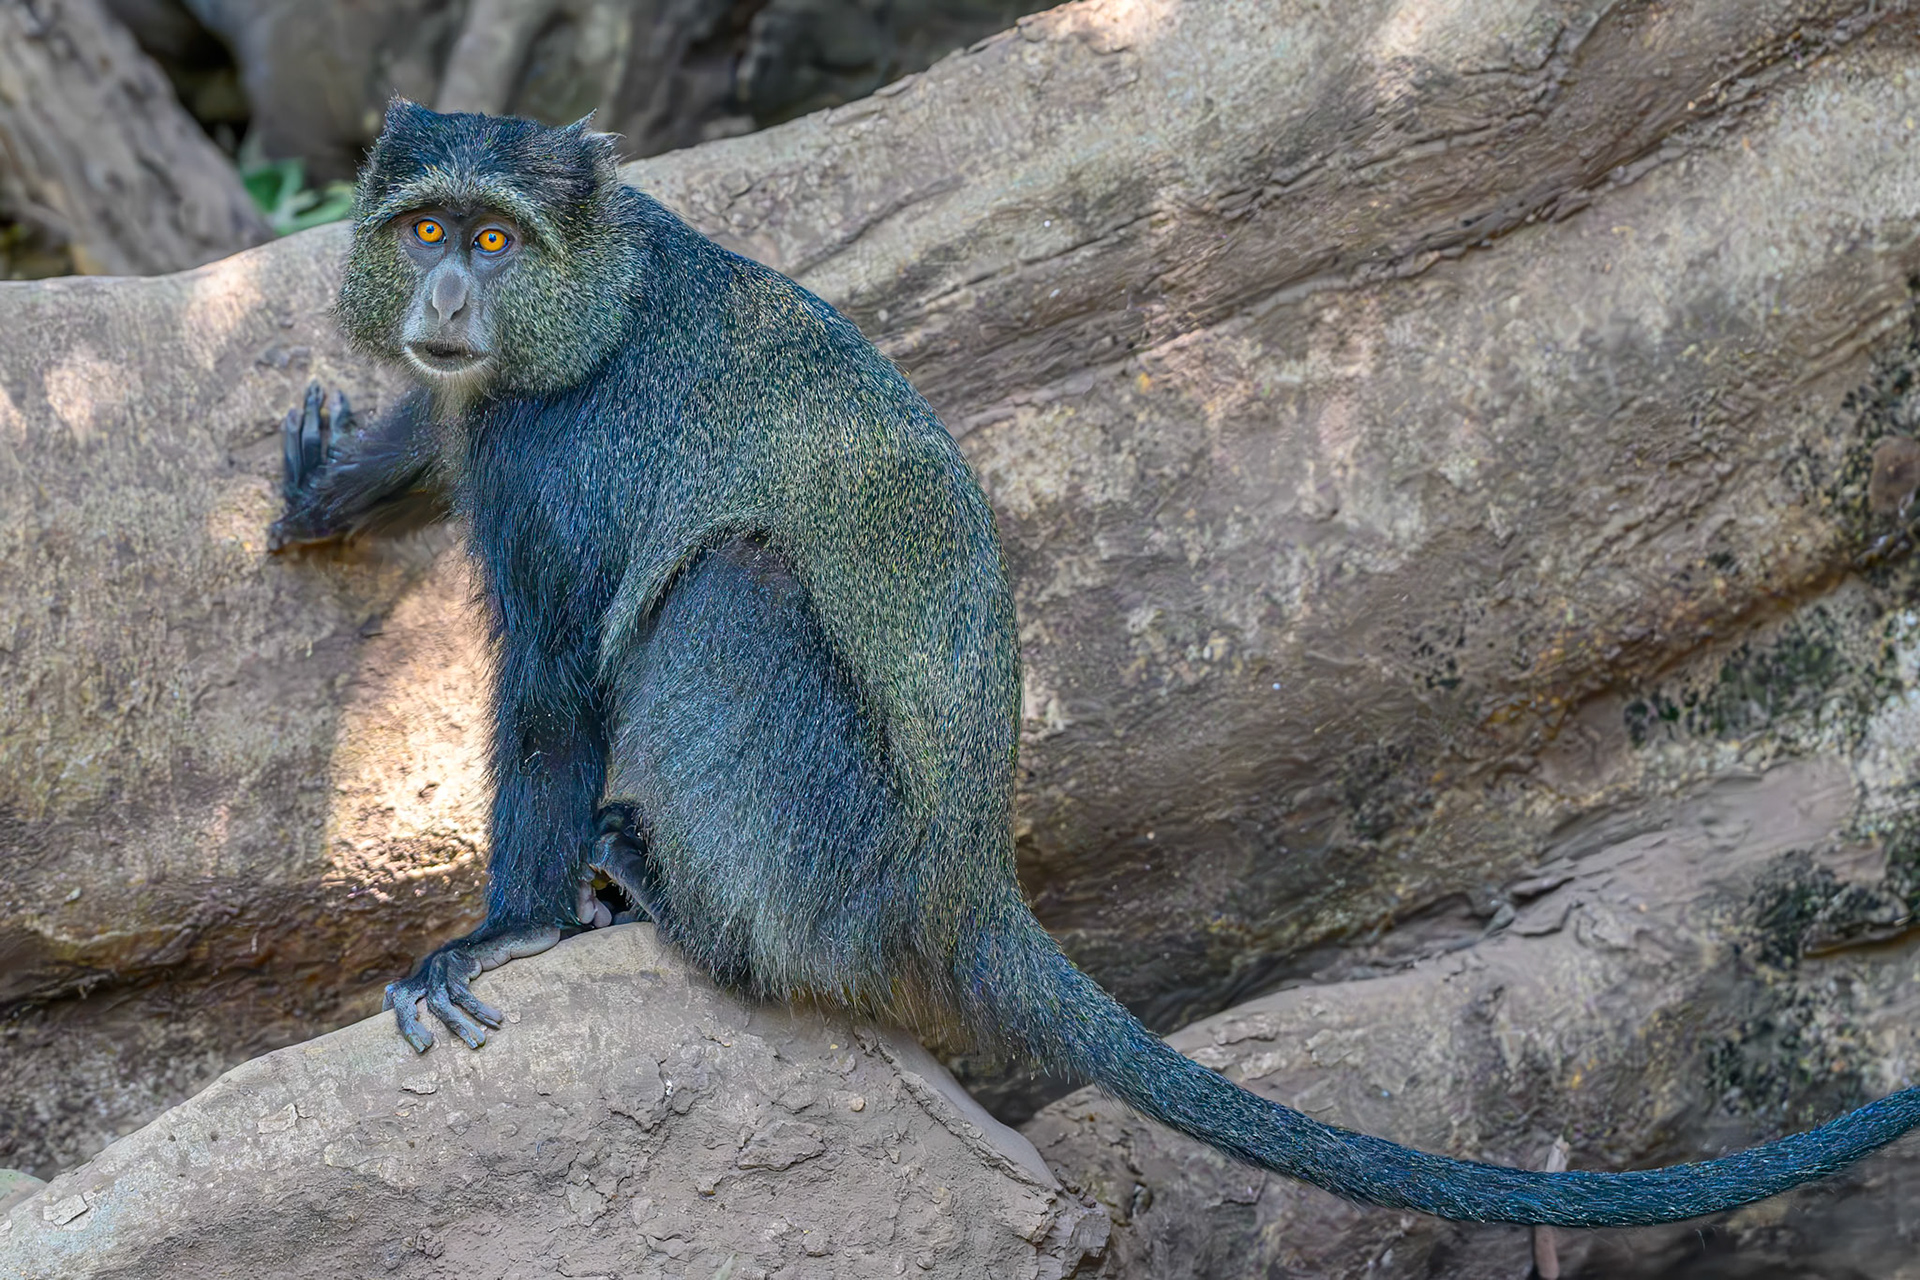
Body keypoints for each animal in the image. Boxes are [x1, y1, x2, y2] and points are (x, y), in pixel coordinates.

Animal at [272, 100, 1920, 1229]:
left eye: (495, 241)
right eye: (425, 233)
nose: (447, 305)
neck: (594, 296)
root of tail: (965, 887)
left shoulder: (563, 465)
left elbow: (555, 687)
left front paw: (508, 932)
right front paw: (348, 474)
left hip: (836, 840)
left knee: (730, 591)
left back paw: (703, 919)